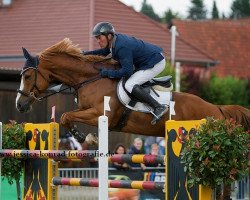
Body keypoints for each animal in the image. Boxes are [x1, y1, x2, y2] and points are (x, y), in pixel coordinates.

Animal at [15, 38, 250, 143]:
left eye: (27, 77)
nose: (19, 105)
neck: (89, 80)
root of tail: (217, 109)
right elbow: (66, 116)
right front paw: (84, 137)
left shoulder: (101, 115)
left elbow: (65, 116)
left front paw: (83, 138)